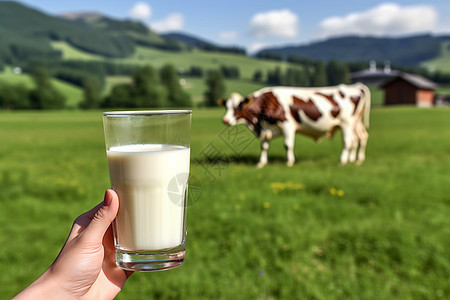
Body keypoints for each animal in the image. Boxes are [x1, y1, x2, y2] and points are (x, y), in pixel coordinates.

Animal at [220, 83, 370, 168]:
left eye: (238, 106)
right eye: (226, 106)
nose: (225, 120)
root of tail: (356, 87)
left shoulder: (287, 125)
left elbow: (288, 145)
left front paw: (289, 162)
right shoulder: (266, 128)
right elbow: (264, 146)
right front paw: (261, 163)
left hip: (346, 122)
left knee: (348, 142)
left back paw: (343, 161)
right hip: (355, 123)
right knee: (360, 137)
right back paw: (356, 160)